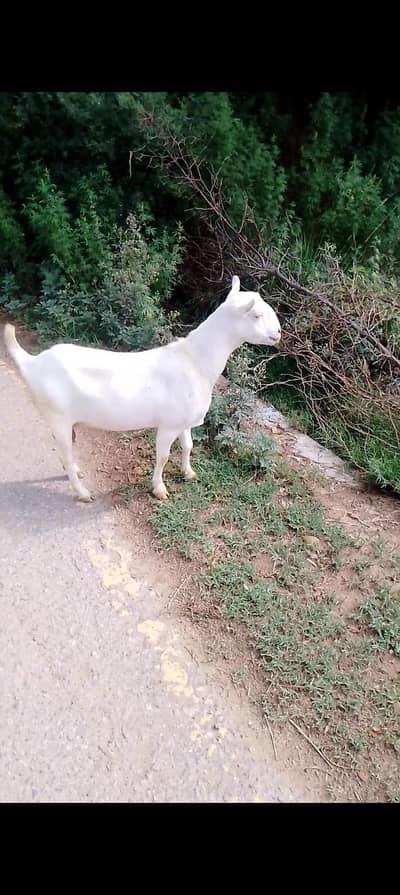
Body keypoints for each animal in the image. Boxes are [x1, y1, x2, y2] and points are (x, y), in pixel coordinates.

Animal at [3, 276, 281, 502]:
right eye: (256, 315)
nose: (278, 332)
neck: (195, 360)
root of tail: (32, 362)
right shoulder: (168, 424)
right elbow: (163, 456)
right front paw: (159, 489)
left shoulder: (183, 421)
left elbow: (188, 446)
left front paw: (189, 473)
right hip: (57, 415)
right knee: (65, 454)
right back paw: (83, 493)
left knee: (66, 452)